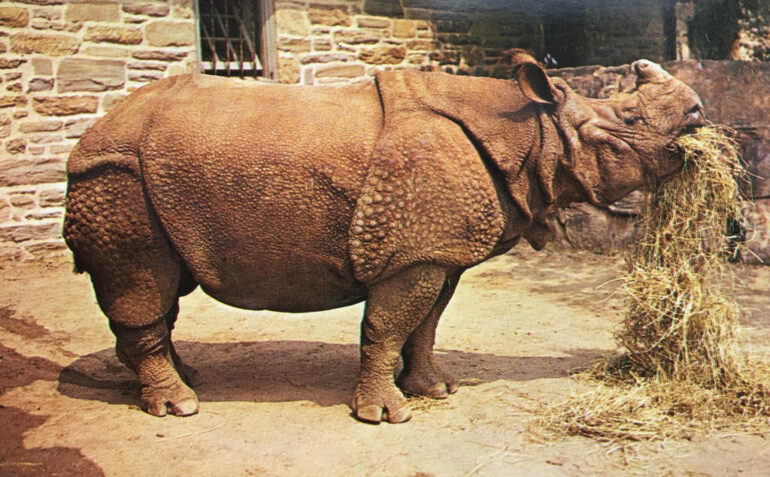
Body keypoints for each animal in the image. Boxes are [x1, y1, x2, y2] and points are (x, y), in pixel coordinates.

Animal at [63, 51, 705, 423]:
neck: (532, 131)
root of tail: (91, 133)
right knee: (141, 280)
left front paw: (433, 390)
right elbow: (387, 326)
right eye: (628, 120)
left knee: (162, 288)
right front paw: (384, 415)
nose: (699, 114)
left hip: (139, 176)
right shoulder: (411, 252)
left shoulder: (436, 251)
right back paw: (179, 406)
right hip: (115, 174)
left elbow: (424, 325)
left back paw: (183, 381)